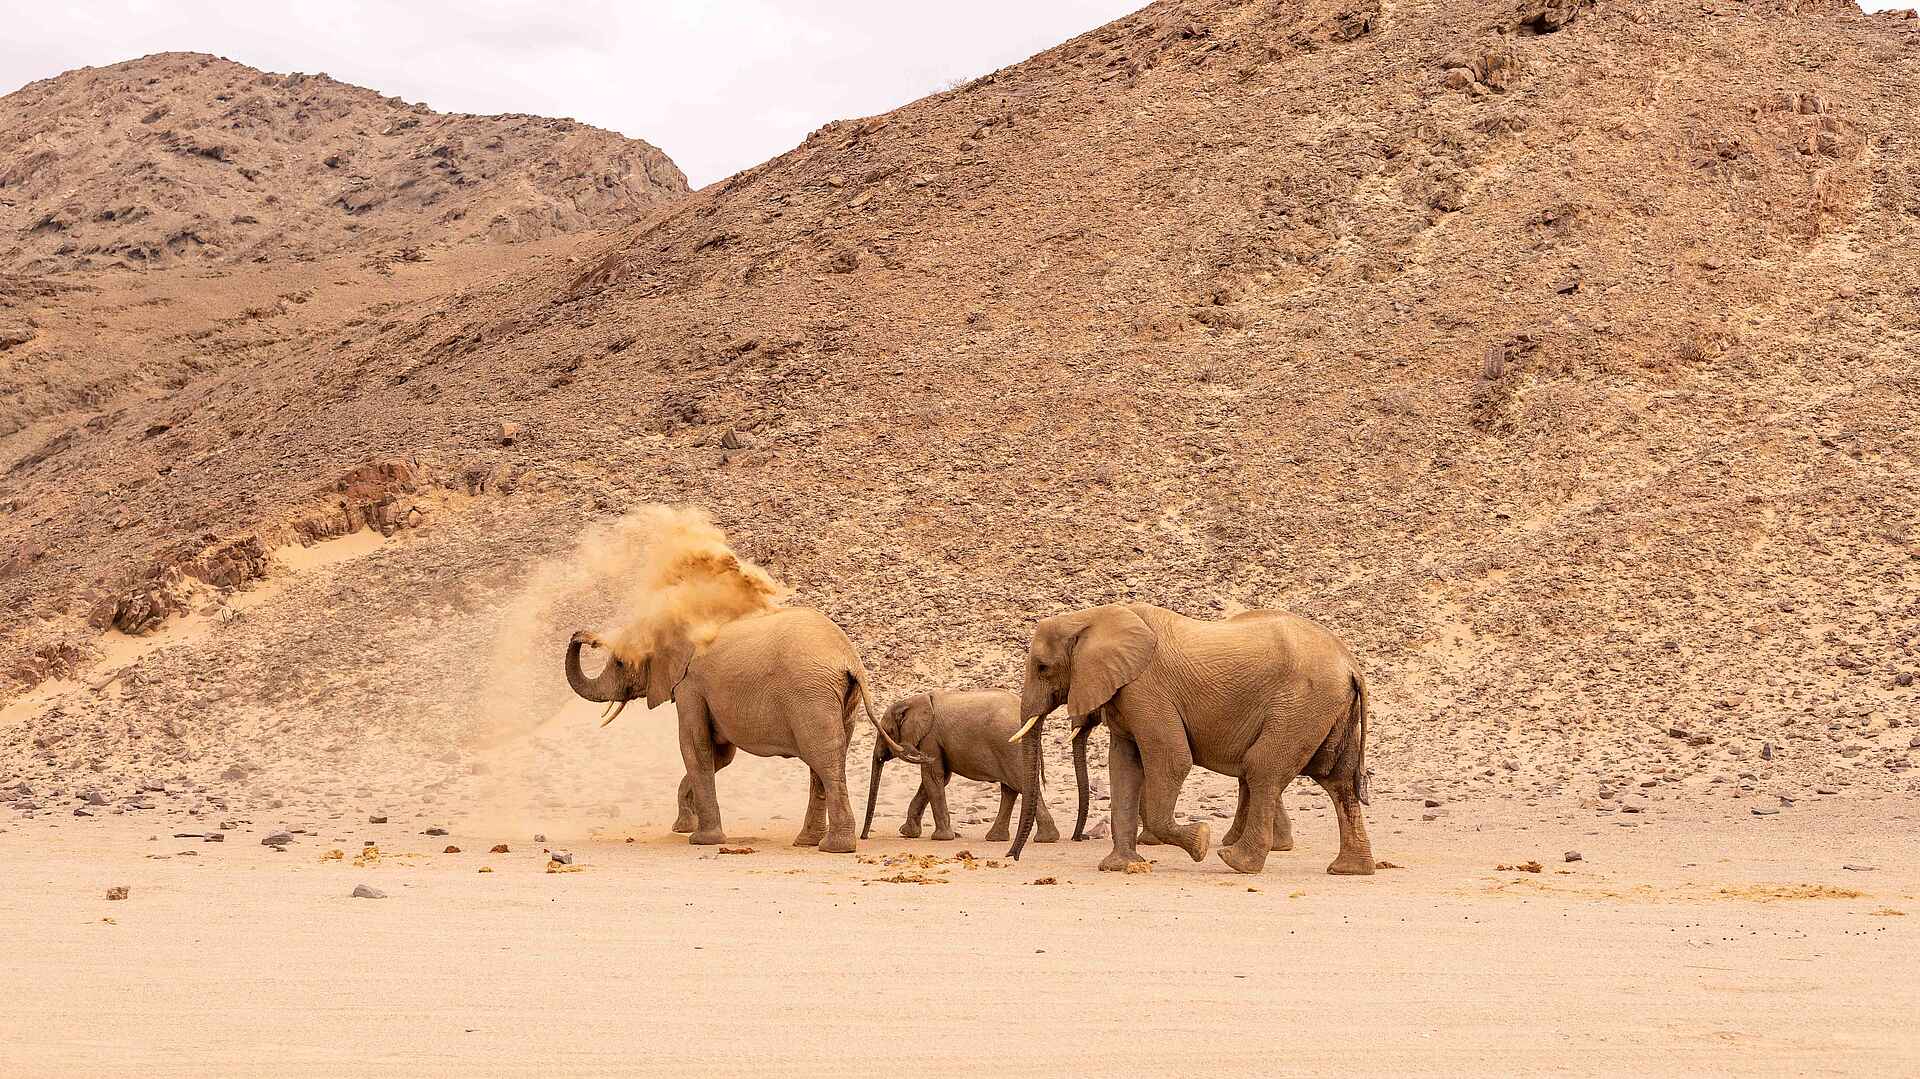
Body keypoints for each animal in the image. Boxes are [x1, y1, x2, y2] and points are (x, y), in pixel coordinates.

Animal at [564, 606, 919, 853]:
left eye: (620, 662)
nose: (584, 636)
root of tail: (849, 659)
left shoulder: (691, 684)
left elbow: (694, 747)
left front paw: (700, 840)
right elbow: (719, 756)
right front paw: (682, 826)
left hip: (810, 695)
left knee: (824, 760)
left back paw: (834, 848)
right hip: (840, 701)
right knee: (826, 760)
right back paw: (808, 842)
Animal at [861, 689, 1060, 845]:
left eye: (886, 732)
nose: (864, 837)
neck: (913, 700)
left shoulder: (930, 737)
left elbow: (932, 776)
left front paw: (941, 838)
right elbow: (937, 779)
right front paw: (908, 833)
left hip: (1010, 746)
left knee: (1019, 785)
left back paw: (1045, 839)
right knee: (1010, 789)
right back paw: (997, 838)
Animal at [1009, 603, 1374, 876]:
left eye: (1042, 667)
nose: (1012, 857)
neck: (1091, 617)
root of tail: (1351, 664)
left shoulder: (1146, 689)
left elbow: (1172, 760)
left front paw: (1200, 841)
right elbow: (1124, 766)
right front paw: (1119, 867)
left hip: (1302, 705)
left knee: (1262, 770)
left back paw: (1236, 861)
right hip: (1327, 710)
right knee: (1337, 780)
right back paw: (1349, 869)